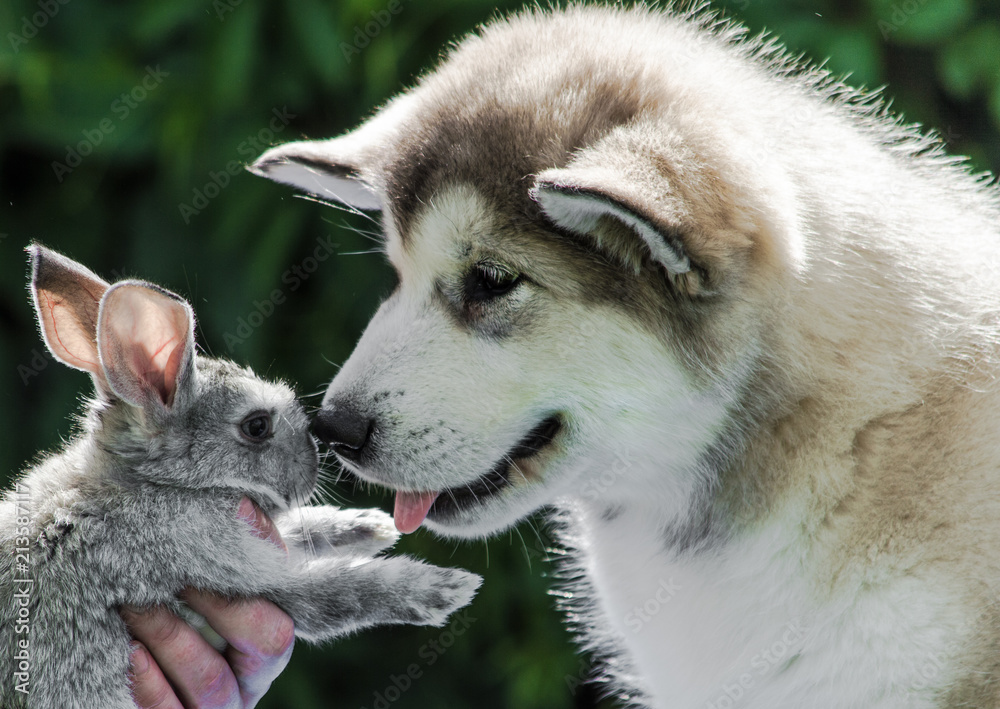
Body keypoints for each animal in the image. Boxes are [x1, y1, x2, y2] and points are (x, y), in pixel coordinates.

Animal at [0, 245, 481, 709]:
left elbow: (301, 531)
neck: (155, 483)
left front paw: (370, 526)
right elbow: (343, 591)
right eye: (257, 426)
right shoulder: (231, 572)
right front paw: (447, 588)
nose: (314, 460)